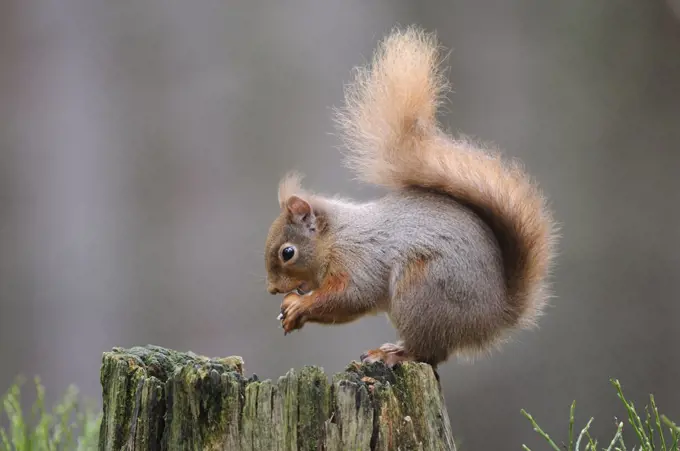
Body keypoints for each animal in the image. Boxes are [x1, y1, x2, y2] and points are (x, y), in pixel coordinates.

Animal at [262, 25, 556, 370]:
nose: (272, 290)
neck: (336, 238)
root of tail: (495, 317)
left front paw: (299, 306)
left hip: (420, 290)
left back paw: (393, 353)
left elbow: (351, 297)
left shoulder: (359, 259)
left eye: (288, 252)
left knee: (429, 352)